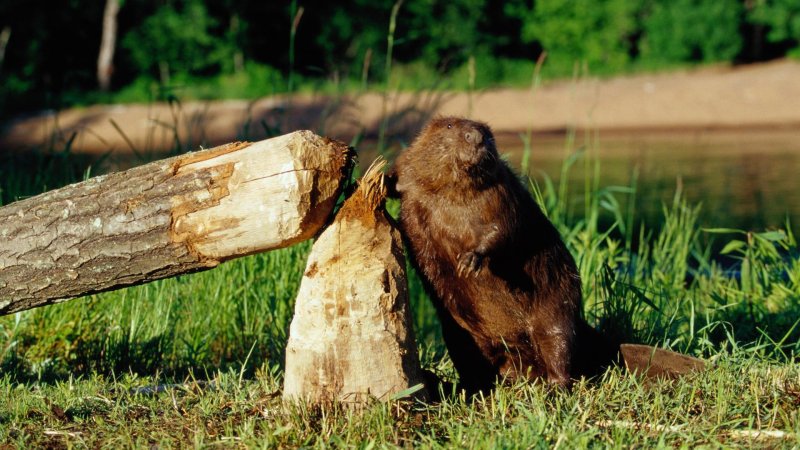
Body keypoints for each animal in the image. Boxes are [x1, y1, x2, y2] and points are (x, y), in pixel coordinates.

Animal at [390, 117, 616, 394]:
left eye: (488, 133)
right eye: (450, 126)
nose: (475, 136)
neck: (452, 192)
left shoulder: (502, 192)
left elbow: (505, 227)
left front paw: (469, 261)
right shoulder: (414, 178)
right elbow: (403, 175)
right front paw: (383, 180)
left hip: (556, 306)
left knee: (558, 344)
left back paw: (555, 388)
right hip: (457, 334)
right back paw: (463, 387)